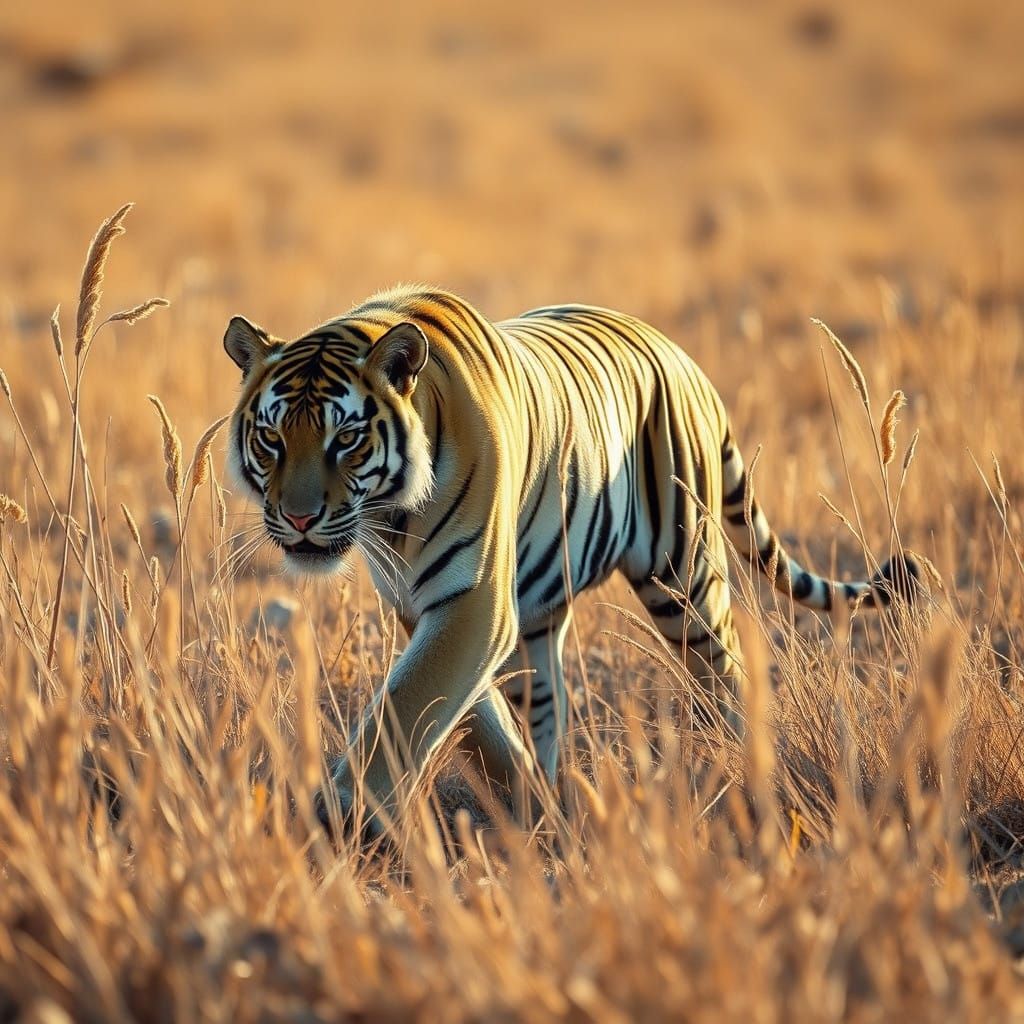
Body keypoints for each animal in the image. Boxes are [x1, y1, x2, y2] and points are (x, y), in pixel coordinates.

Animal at [224, 285, 916, 836]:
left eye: (345, 438)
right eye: (272, 437)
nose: (300, 518)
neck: (391, 520)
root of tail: (686, 361)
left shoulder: (474, 601)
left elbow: (407, 703)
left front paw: (341, 812)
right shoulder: (423, 605)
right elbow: (469, 717)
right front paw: (528, 795)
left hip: (684, 579)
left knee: (726, 674)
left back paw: (749, 773)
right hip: (541, 617)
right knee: (549, 698)